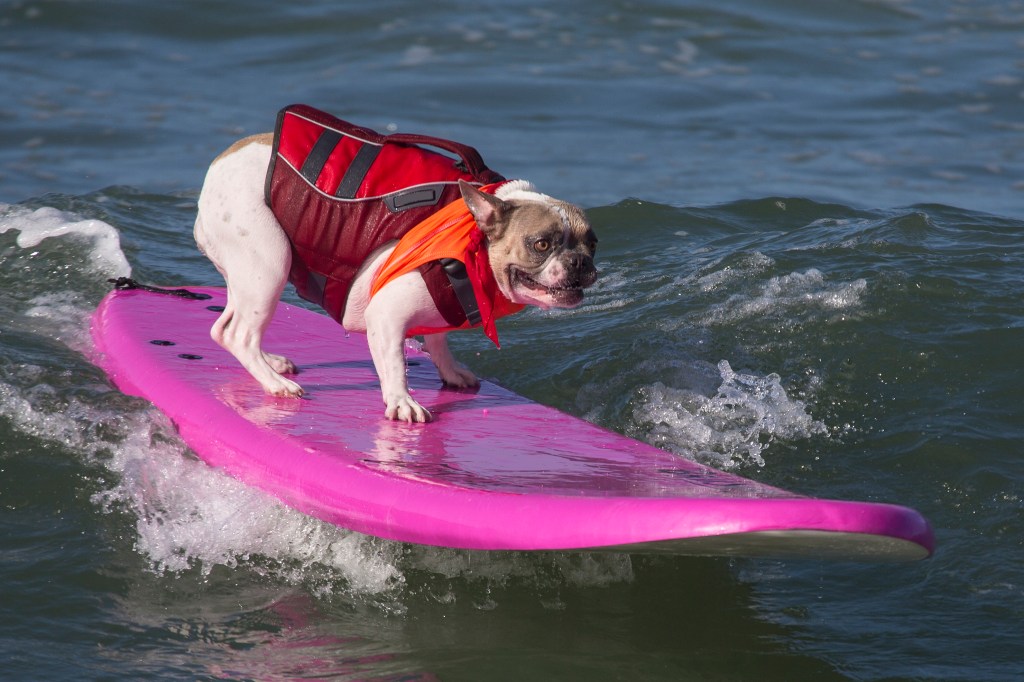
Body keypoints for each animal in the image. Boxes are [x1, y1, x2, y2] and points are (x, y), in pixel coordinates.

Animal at [192, 124, 598, 419]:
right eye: (541, 244)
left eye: (593, 243)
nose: (580, 261)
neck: (473, 239)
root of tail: (217, 169)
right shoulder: (385, 317)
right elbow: (395, 364)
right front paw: (402, 402)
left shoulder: (440, 304)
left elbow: (438, 341)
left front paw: (450, 372)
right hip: (270, 264)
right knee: (239, 334)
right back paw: (274, 382)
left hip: (247, 275)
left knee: (224, 326)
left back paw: (270, 362)